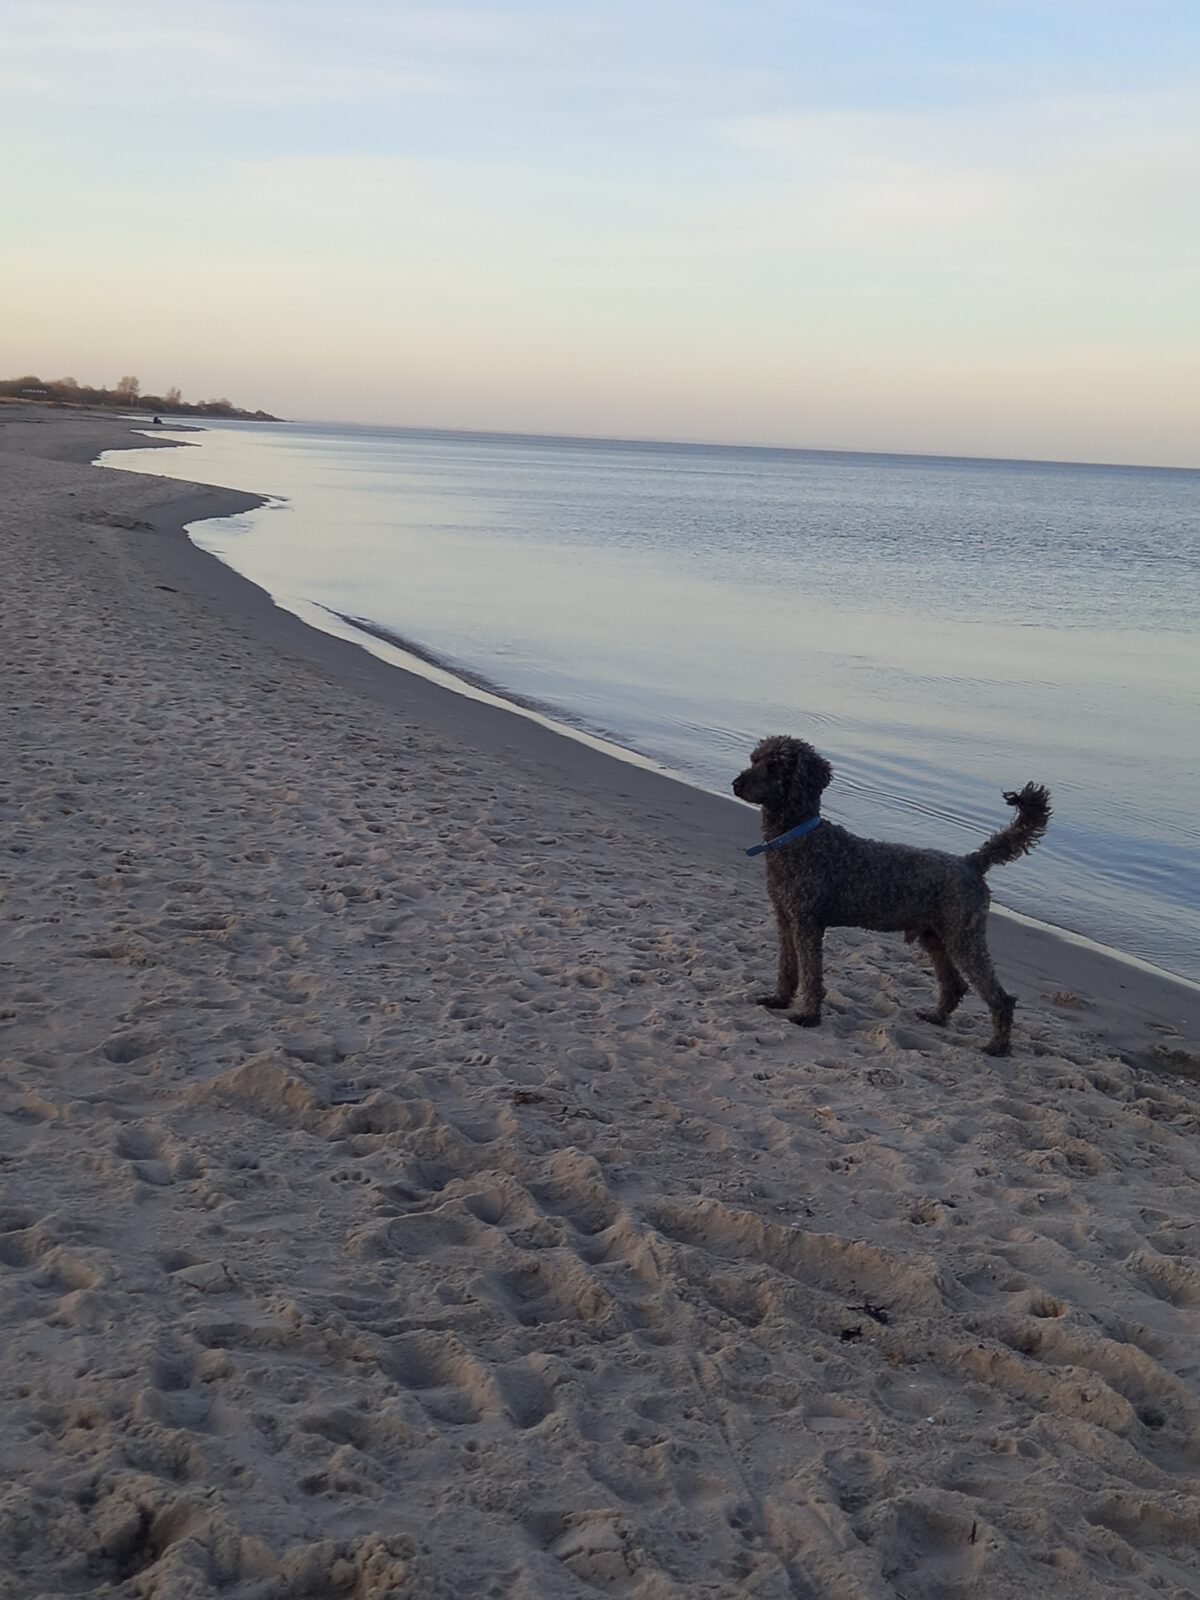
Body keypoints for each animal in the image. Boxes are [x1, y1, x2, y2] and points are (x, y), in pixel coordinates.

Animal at [732, 732, 1049, 1056]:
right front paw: (779, 1000)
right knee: (954, 985)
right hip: (935, 936)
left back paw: (997, 1045)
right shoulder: (786, 919)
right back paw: (937, 1017)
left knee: (999, 997)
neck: (799, 838)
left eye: (774, 766)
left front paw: (808, 1015)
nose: (736, 784)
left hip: (964, 938)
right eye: (754, 760)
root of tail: (972, 862)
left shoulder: (806, 925)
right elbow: (787, 967)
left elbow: (810, 975)